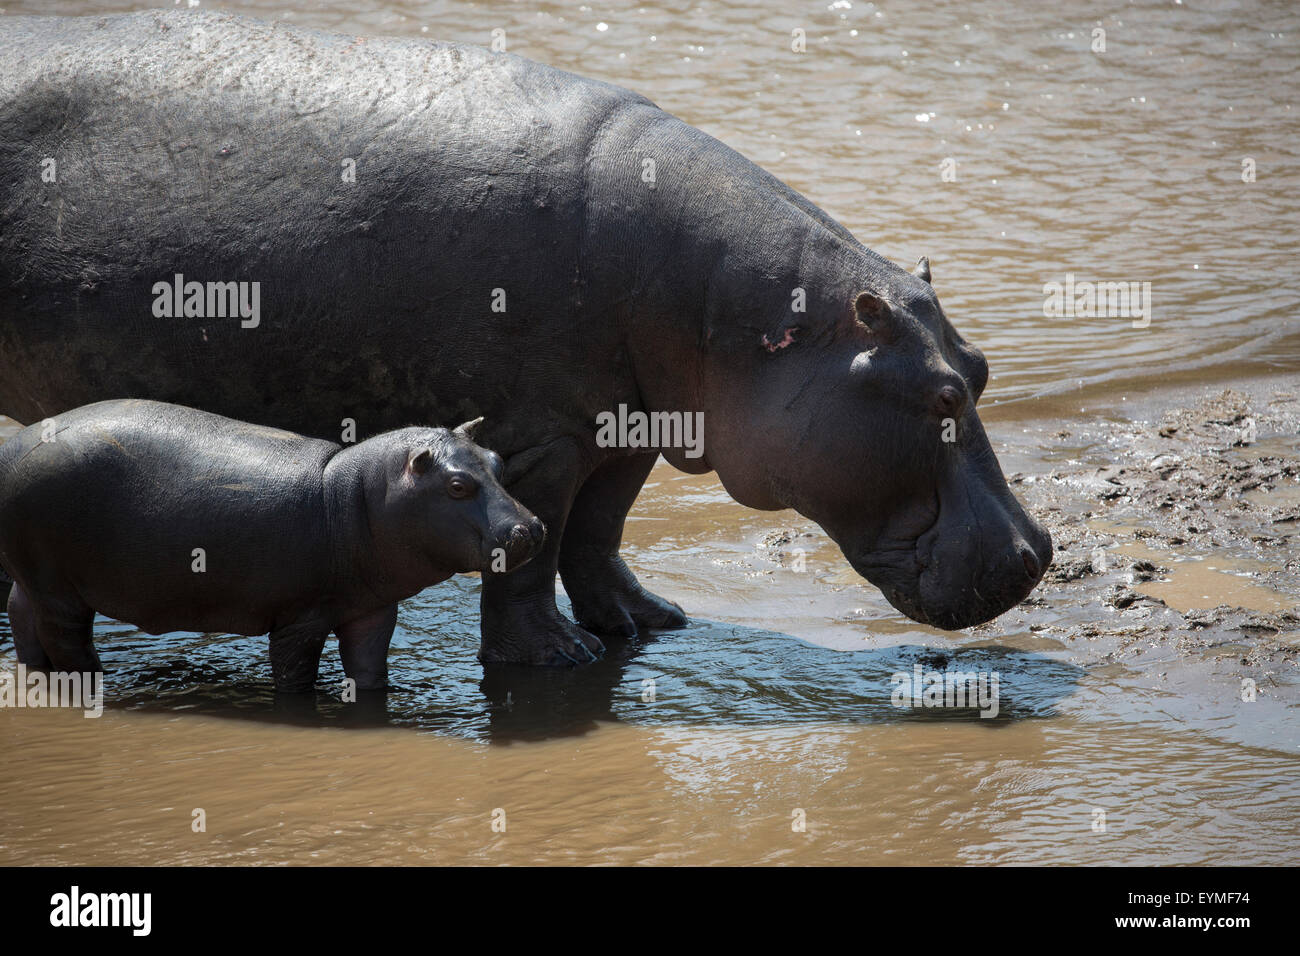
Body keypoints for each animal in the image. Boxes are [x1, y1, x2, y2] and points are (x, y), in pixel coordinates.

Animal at [0, 400, 543, 691]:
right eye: (457, 486)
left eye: (497, 461)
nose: (534, 528)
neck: (354, 493)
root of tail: (16, 442)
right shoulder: (299, 620)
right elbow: (295, 675)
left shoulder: (371, 610)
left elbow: (369, 671)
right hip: (61, 589)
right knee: (67, 642)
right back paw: (98, 682)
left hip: (34, 578)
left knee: (22, 615)